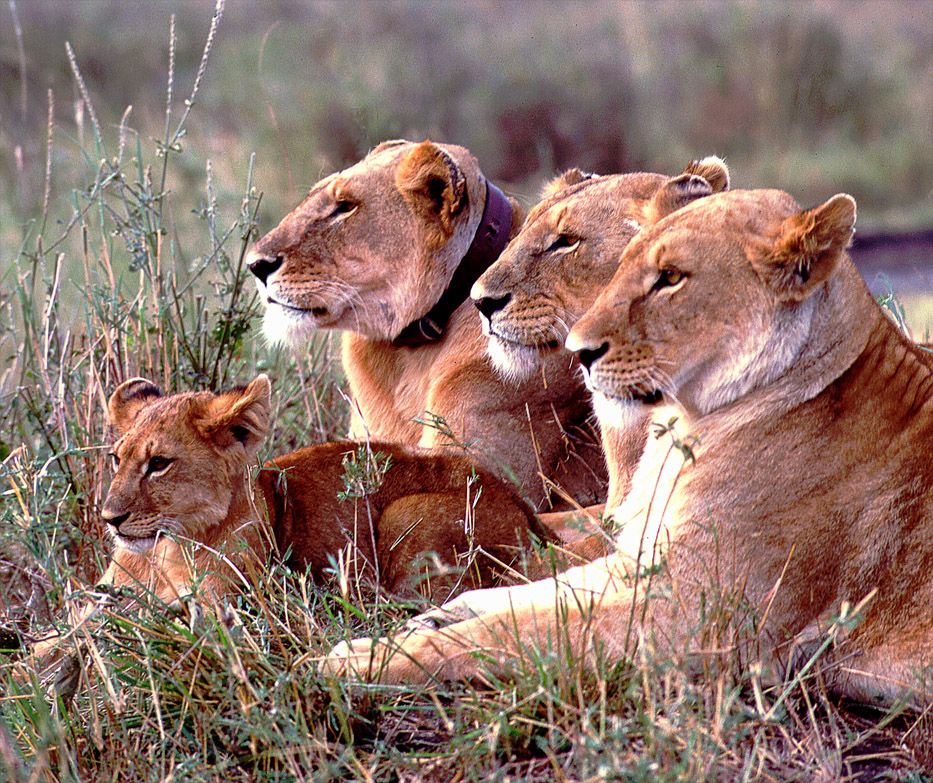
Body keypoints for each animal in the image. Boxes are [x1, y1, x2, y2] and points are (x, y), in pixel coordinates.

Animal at [27, 375, 553, 661]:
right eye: (117, 459)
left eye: (159, 464)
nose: (110, 518)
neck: (164, 551)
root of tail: (530, 515)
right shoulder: (102, 594)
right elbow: (63, 630)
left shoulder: (226, 608)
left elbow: (136, 624)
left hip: (407, 514)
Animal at [323, 189, 933, 707]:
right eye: (621, 268)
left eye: (671, 278)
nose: (579, 351)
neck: (687, 426)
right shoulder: (643, 558)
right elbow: (530, 595)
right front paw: (425, 620)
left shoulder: (692, 625)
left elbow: (512, 634)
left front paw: (362, 662)